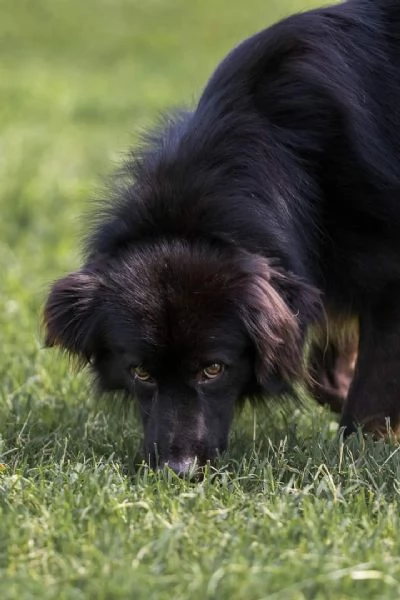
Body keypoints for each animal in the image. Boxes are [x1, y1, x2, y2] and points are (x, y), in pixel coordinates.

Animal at [44, 1, 400, 474]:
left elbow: (368, 398)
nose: (177, 471)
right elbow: (327, 370)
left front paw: (363, 449)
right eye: (141, 373)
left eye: (214, 369)